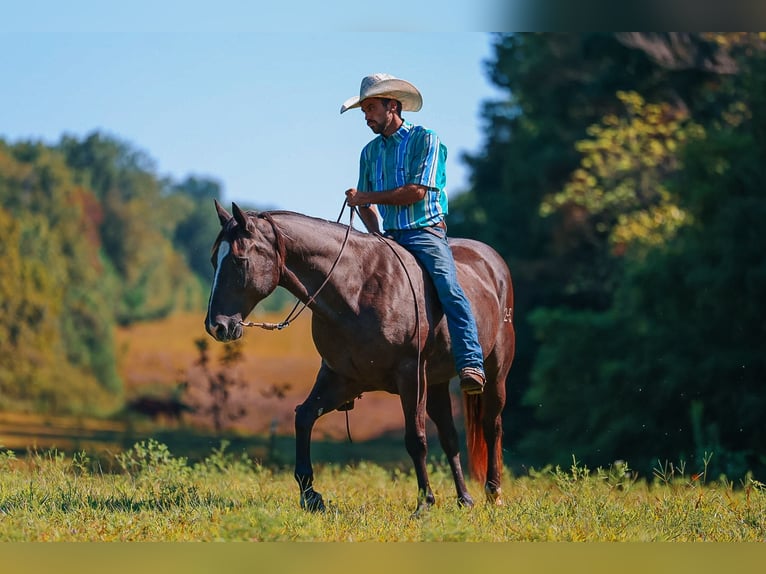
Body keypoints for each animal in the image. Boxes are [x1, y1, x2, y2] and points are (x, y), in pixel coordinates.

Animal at [205, 200, 515, 514]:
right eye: (213, 261)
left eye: (239, 260)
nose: (216, 326)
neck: (357, 290)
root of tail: (494, 264)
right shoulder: (340, 377)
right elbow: (303, 417)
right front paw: (310, 495)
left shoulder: (411, 376)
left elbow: (415, 438)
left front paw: (424, 502)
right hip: (437, 383)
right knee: (449, 436)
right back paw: (465, 499)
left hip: (495, 374)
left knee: (492, 426)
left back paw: (494, 493)